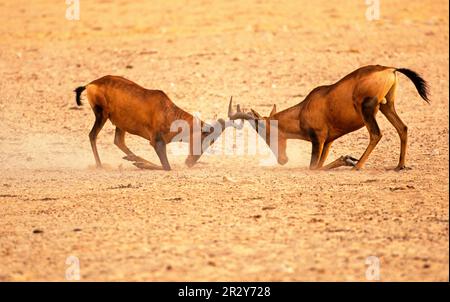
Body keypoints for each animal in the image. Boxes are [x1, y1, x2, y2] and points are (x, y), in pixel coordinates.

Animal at [74, 75, 236, 170]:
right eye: (206, 138)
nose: (189, 162)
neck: (166, 109)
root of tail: (90, 84)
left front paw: (138, 163)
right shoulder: (157, 142)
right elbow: (167, 167)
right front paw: (141, 164)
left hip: (120, 123)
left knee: (118, 141)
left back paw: (132, 158)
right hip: (101, 115)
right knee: (92, 135)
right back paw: (100, 166)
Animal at [229, 64, 428, 170]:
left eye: (264, 133)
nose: (282, 160)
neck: (303, 109)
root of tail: (389, 69)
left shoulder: (318, 139)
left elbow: (314, 167)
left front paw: (348, 160)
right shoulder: (328, 141)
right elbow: (320, 164)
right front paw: (348, 159)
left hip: (368, 109)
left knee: (376, 134)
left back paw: (358, 166)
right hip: (387, 105)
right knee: (402, 128)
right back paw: (400, 166)